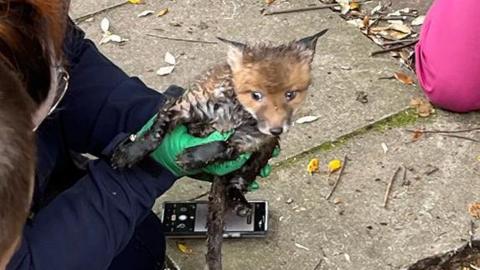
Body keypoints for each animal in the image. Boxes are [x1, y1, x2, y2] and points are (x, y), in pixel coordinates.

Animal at [112, 28, 328, 268]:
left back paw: (240, 202)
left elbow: (223, 145)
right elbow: (157, 131)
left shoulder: (251, 139)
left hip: (254, 162)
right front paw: (130, 153)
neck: (235, 112)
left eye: (290, 94)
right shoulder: (184, 107)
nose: (276, 130)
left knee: (236, 183)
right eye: (256, 95)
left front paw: (193, 156)